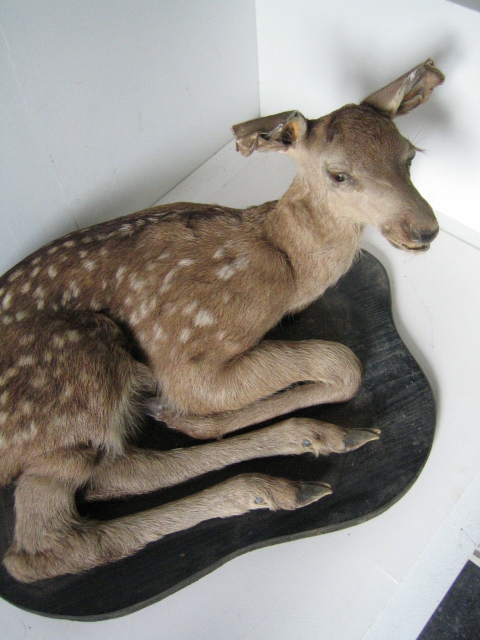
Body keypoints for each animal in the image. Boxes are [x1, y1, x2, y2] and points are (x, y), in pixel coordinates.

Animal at [0, 58, 444, 580]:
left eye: (409, 155)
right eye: (339, 174)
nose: (426, 229)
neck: (288, 267)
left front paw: (181, 417)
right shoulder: (186, 352)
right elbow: (343, 362)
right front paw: (189, 416)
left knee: (115, 475)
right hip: (73, 367)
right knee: (38, 546)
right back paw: (274, 484)